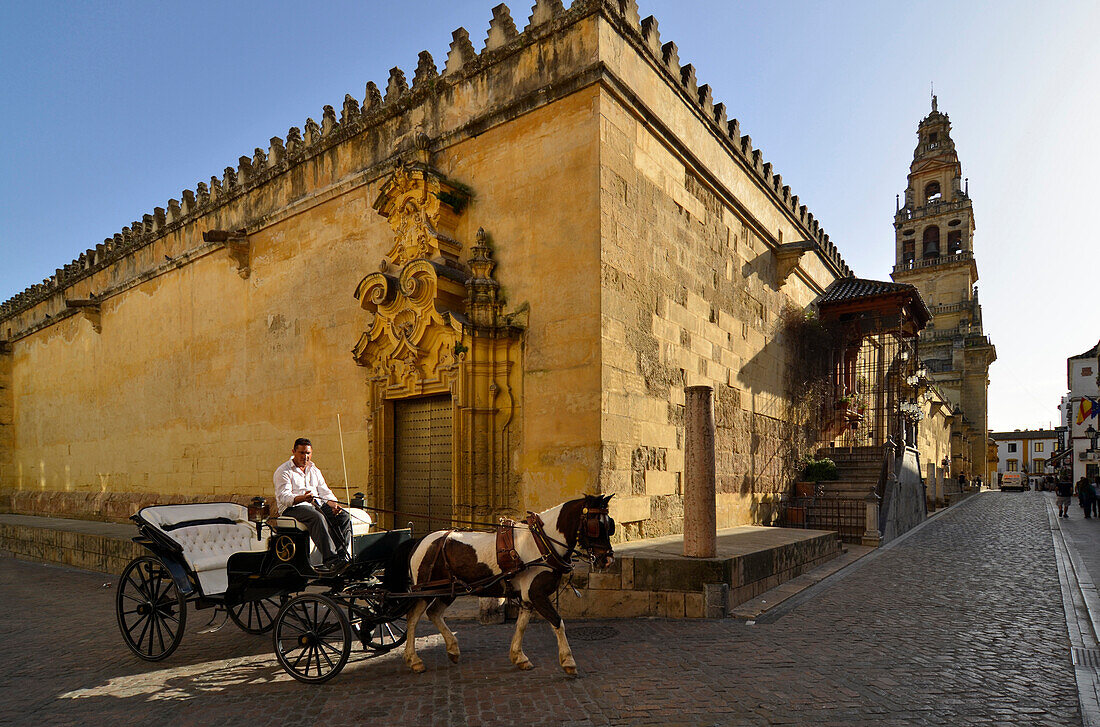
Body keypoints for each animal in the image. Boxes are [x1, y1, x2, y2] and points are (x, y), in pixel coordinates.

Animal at [391, 492, 616, 673]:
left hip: (448, 589)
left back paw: (452, 649)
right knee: (413, 618)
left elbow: (522, 624)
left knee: (434, 613)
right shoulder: (536, 593)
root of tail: (420, 541)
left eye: (610, 525)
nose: (607, 560)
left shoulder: (527, 596)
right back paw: (414, 659)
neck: (543, 542)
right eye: (597, 525)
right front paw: (568, 661)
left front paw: (519, 656)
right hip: (424, 590)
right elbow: (557, 621)